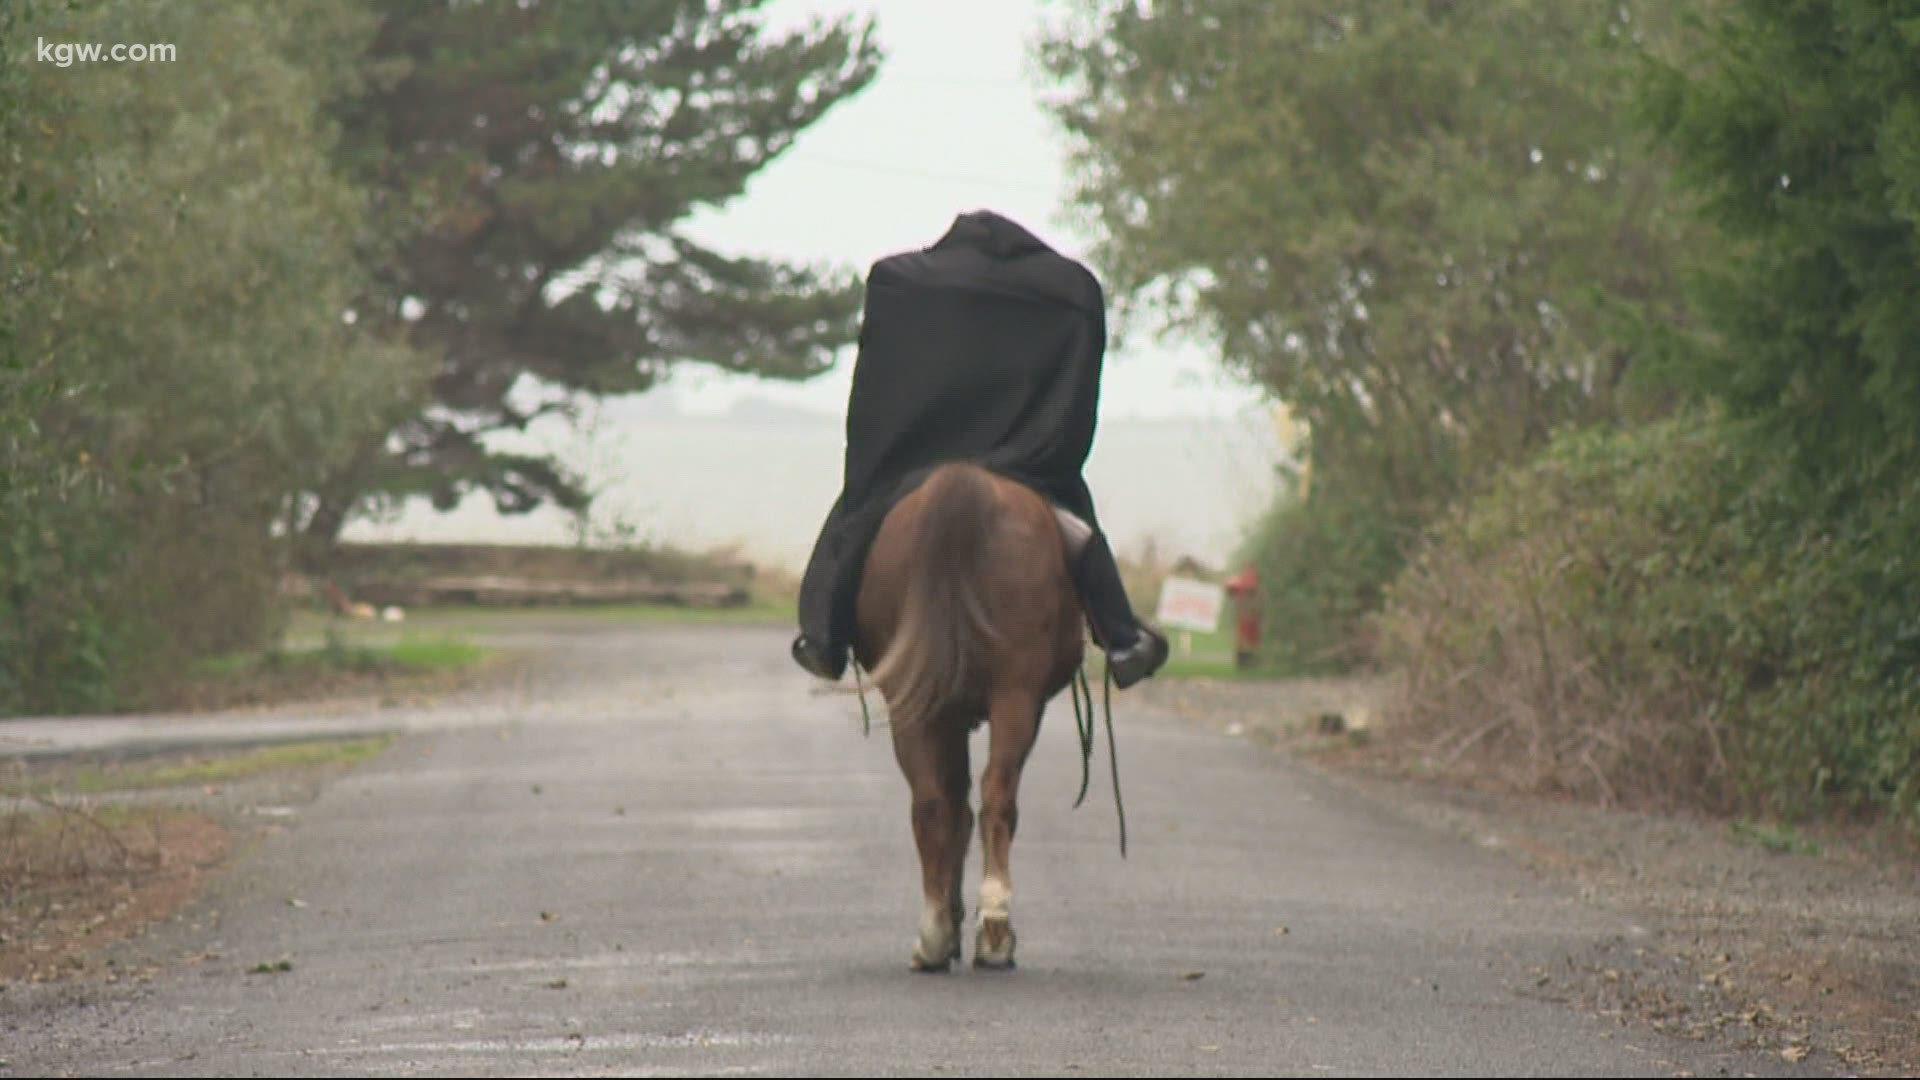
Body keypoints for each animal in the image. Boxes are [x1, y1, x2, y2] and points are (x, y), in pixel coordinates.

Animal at [852, 461, 1082, 968]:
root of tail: (963, 482)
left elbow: (955, 805)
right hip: (1012, 696)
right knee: (987, 794)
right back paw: (985, 931)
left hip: (931, 699)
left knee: (937, 800)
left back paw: (945, 933)